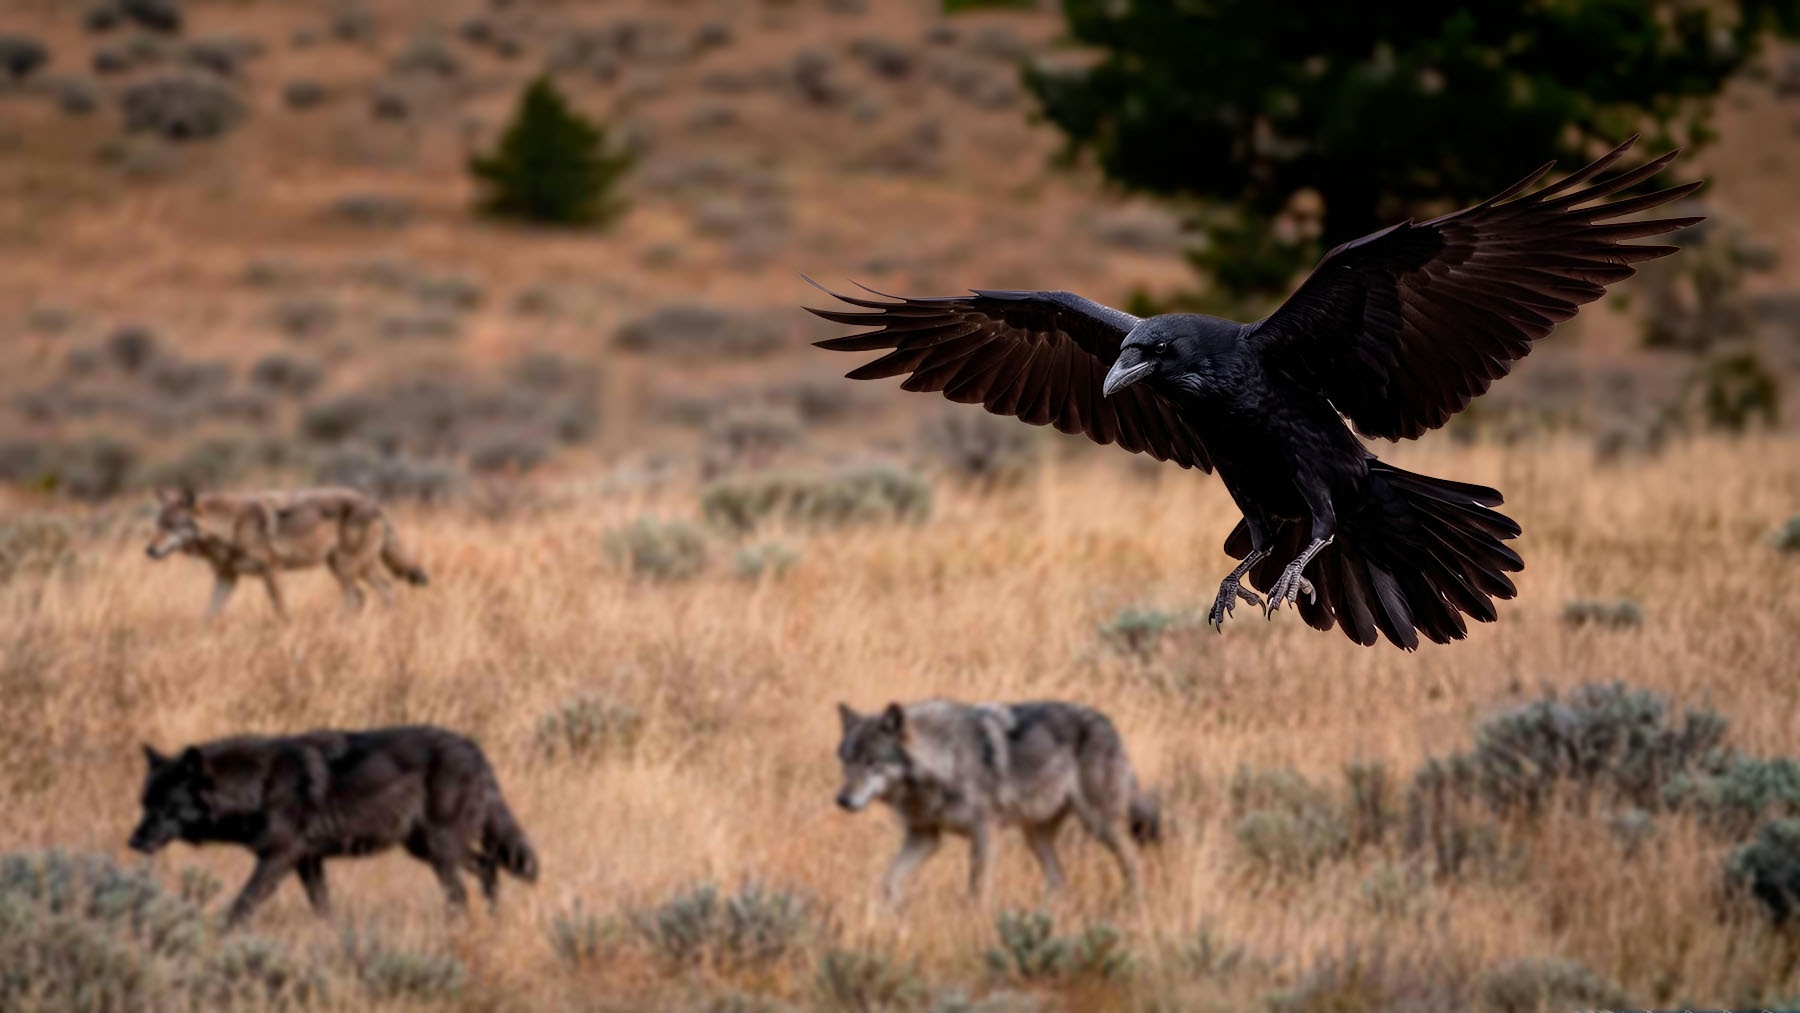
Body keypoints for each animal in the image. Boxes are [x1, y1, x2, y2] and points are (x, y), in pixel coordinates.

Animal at [128, 725, 537, 927]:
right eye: (144, 804)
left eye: (167, 806)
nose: (133, 841)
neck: (259, 785)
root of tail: (475, 751)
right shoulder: (309, 861)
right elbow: (322, 906)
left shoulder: (279, 857)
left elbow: (243, 904)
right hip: (426, 849)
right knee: (487, 867)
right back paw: (493, 922)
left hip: (439, 851)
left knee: (462, 892)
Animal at [145, 486, 428, 619]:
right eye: (157, 524)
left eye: (170, 526)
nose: (148, 550)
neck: (232, 526)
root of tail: (376, 504)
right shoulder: (226, 578)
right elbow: (207, 615)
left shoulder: (272, 571)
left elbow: (281, 610)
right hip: (342, 567)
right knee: (368, 594)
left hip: (350, 567)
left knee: (374, 591)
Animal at [835, 699, 1159, 905]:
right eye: (846, 761)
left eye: (871, 762)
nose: (842, 800)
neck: (944, 760)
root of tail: (1109, 724)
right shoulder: (925, 837)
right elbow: (888, 881)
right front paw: (895, 911)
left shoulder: (984, 832)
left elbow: (977, 888)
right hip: (1035, 836)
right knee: (1059, 880)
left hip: (1099, 824)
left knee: (1134, 863)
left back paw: (1132, 907)